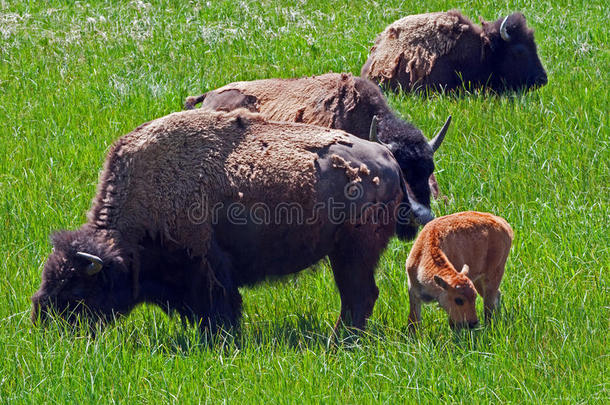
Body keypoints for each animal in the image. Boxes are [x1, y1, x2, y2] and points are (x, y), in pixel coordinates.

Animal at [32, 108, 414, 332]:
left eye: (76, 289)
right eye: (50, 278)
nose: (42, 322)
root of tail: (387, 158)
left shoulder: (207, 268)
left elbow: (221, 307)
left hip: (351, 253)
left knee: (358, 296)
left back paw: (339, 344)